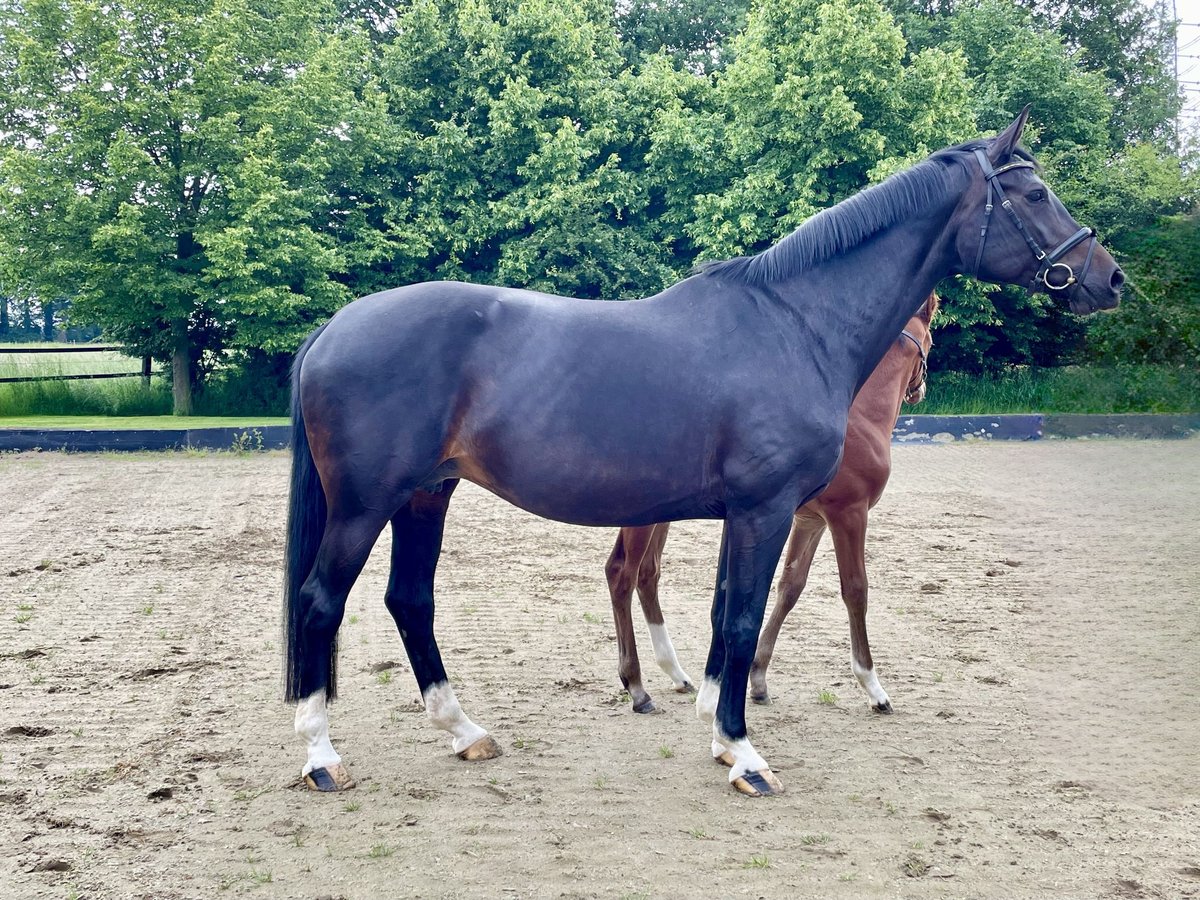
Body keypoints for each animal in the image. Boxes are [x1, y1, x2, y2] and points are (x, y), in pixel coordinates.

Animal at [609, 297, 936, 720]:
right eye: (931, 340)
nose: (920, 389)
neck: (859, 418)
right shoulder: (849, 514)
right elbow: (855, 590)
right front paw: (873, 688)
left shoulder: (809, 521)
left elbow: (790, 587)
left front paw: (758, 677)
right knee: (622, 574)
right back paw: (637, 687)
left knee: (647, 574)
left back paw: (676, 674)